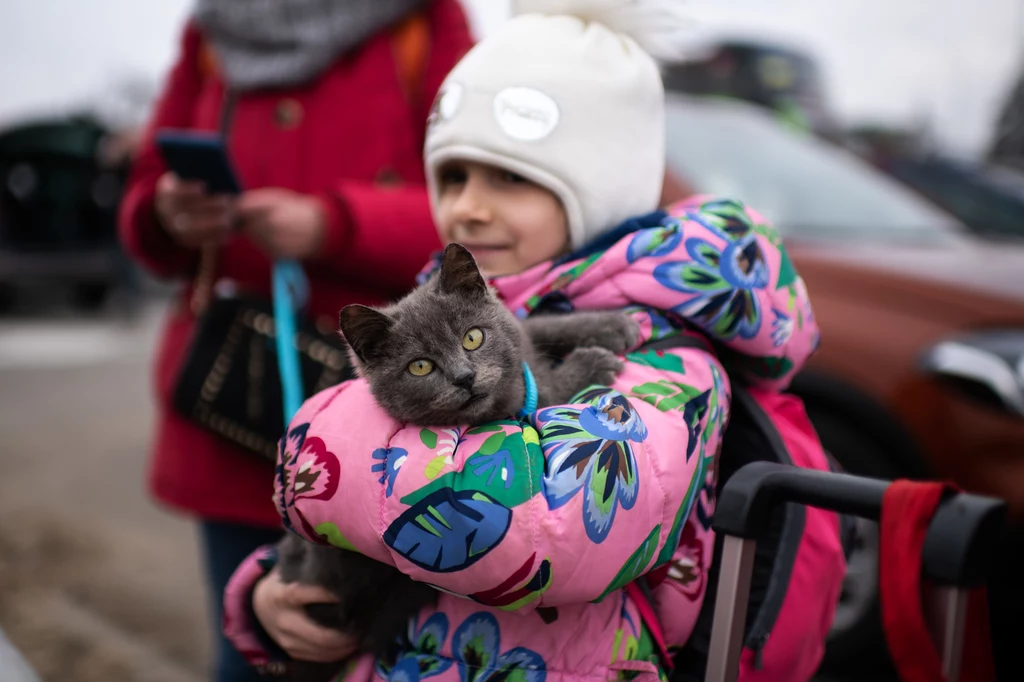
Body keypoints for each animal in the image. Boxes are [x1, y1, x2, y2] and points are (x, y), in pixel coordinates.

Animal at [276, 241, 634, 675]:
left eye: (473, 338)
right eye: (420, 366)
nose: (465, 377)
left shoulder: (519, 338)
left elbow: (537, 326)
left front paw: (615, 325)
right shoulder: (518, 414)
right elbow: (548, 391)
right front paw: (593, 362)